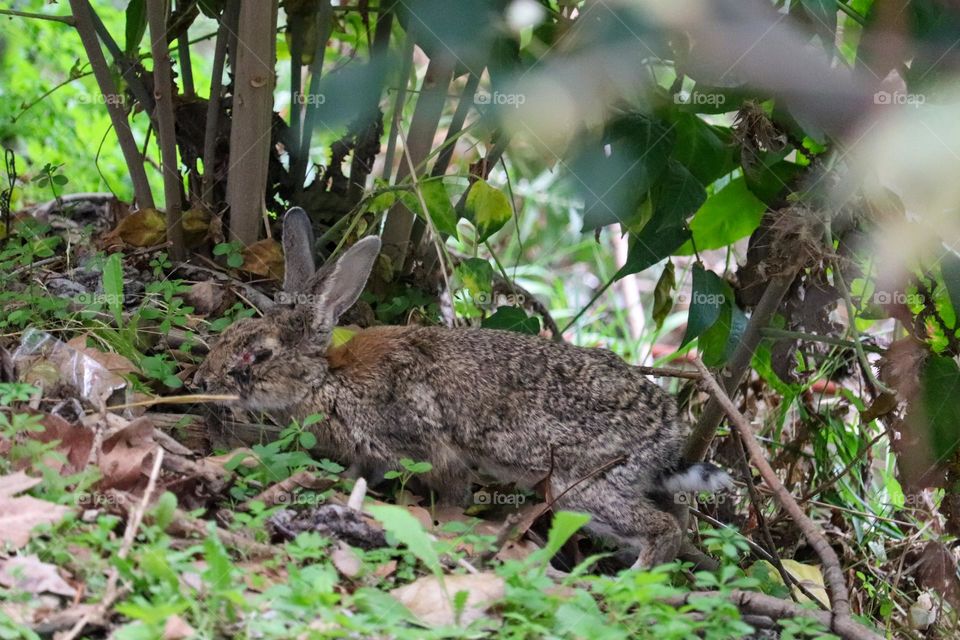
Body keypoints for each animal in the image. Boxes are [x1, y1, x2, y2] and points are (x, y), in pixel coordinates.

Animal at [197, 208, 736, 568]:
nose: (204, 380)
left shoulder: (428, 449)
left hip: (583, 484)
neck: (328, 377)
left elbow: (451, 487)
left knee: (662, 528)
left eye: (258, 355)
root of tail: (668, 439)